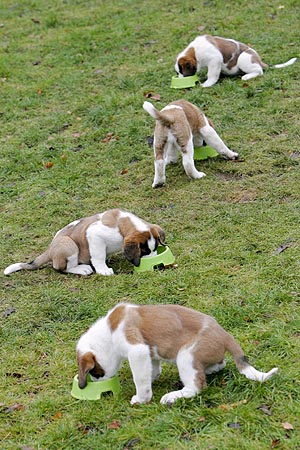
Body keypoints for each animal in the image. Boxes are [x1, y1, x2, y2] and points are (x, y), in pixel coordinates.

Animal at [3, 208, 165, 278]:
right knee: (62, 268)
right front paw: (103, 270)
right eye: (144, 252)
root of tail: (49, 250)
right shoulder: (94, 234)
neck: (121, 225)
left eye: (155, 249)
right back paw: (82, 269)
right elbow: (98, 256)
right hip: (68, 244)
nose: (156, 264)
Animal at [76, 302, 278, 404]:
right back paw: (211, 369)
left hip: (186, 356)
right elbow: (151, 370)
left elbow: (140, 380)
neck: (108, 332)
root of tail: (225, 334)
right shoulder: (149, 352)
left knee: (196, 387)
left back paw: (172, 396)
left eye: (94, 372)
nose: (95, 382)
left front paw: (141, 398)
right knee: (220, 364)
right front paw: (152, 379)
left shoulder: (137, 350)